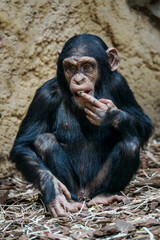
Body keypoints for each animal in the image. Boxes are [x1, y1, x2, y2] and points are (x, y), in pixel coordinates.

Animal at [9, 33, 152, 218]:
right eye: (70, 67)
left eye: (87, 66)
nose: (78, 79)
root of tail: (84, 193)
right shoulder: (43, 96)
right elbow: (23, 145)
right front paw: (53, 188)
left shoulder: (121, 85)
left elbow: (144, 122)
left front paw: (109, 114)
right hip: (74, 188)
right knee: (44, 141)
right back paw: (69, 201)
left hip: (95, 185)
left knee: (131, 143)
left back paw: (104, 196)